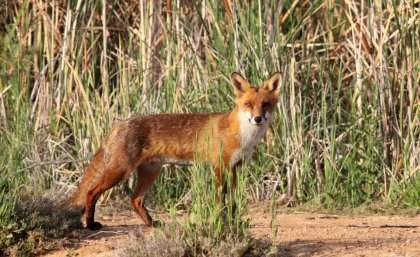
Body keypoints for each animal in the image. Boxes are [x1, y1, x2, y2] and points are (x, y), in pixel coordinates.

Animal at [64, 71, 282, 229]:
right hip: (119, 172)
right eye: (248, 104)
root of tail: (119, 124)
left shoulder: (236, 168)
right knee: (91, 192)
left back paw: (151, 224)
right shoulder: (220, 167)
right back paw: (90, 224)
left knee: (135, 199)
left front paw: (234, 221)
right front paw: (219, 221)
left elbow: (233, 201)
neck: (243, 137)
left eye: (266, 105)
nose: (257, 119)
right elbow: (220, 200)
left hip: (151, 172)